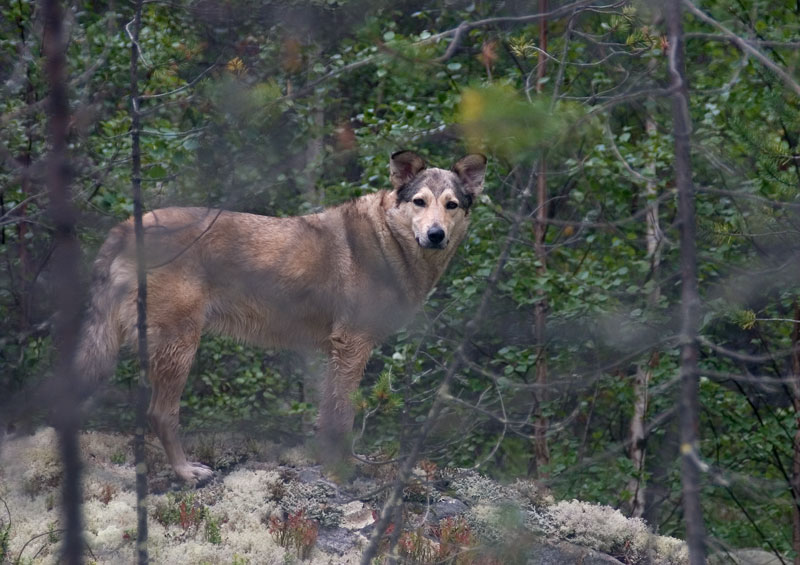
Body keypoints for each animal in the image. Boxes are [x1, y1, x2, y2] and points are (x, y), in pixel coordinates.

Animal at [76, 150, 488, 480]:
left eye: (451, 205)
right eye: (419, 202)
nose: (435, 235)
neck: (388, 241)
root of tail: (126, 226)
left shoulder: (335, 351)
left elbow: (327, 415)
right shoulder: (353, 345)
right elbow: (344, 416)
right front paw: (346, 469)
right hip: (180, 347)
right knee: (161, 414)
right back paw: (185, 472)